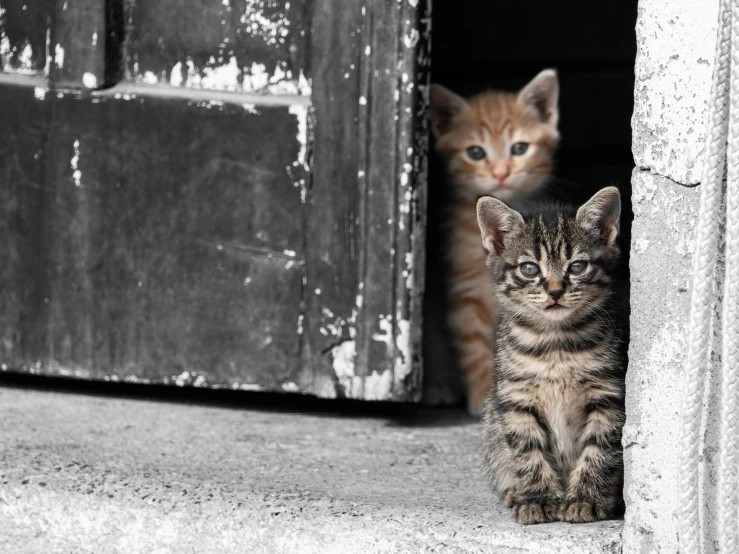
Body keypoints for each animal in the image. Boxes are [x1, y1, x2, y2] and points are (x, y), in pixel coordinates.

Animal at [428, 69, 560, 412]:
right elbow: (473, 346)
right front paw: (481, 399)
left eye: (519, 148)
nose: (501, 173)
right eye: (476, 152)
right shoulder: (465, 290)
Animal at [476, 187, 628, 520]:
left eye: (577, 266)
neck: (556, 343)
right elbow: (528, 451)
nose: (556, 291)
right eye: (530, 269)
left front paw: (586, 498)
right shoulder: (517, 398)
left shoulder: (609, 395)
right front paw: (539, 499)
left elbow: (599, 449)